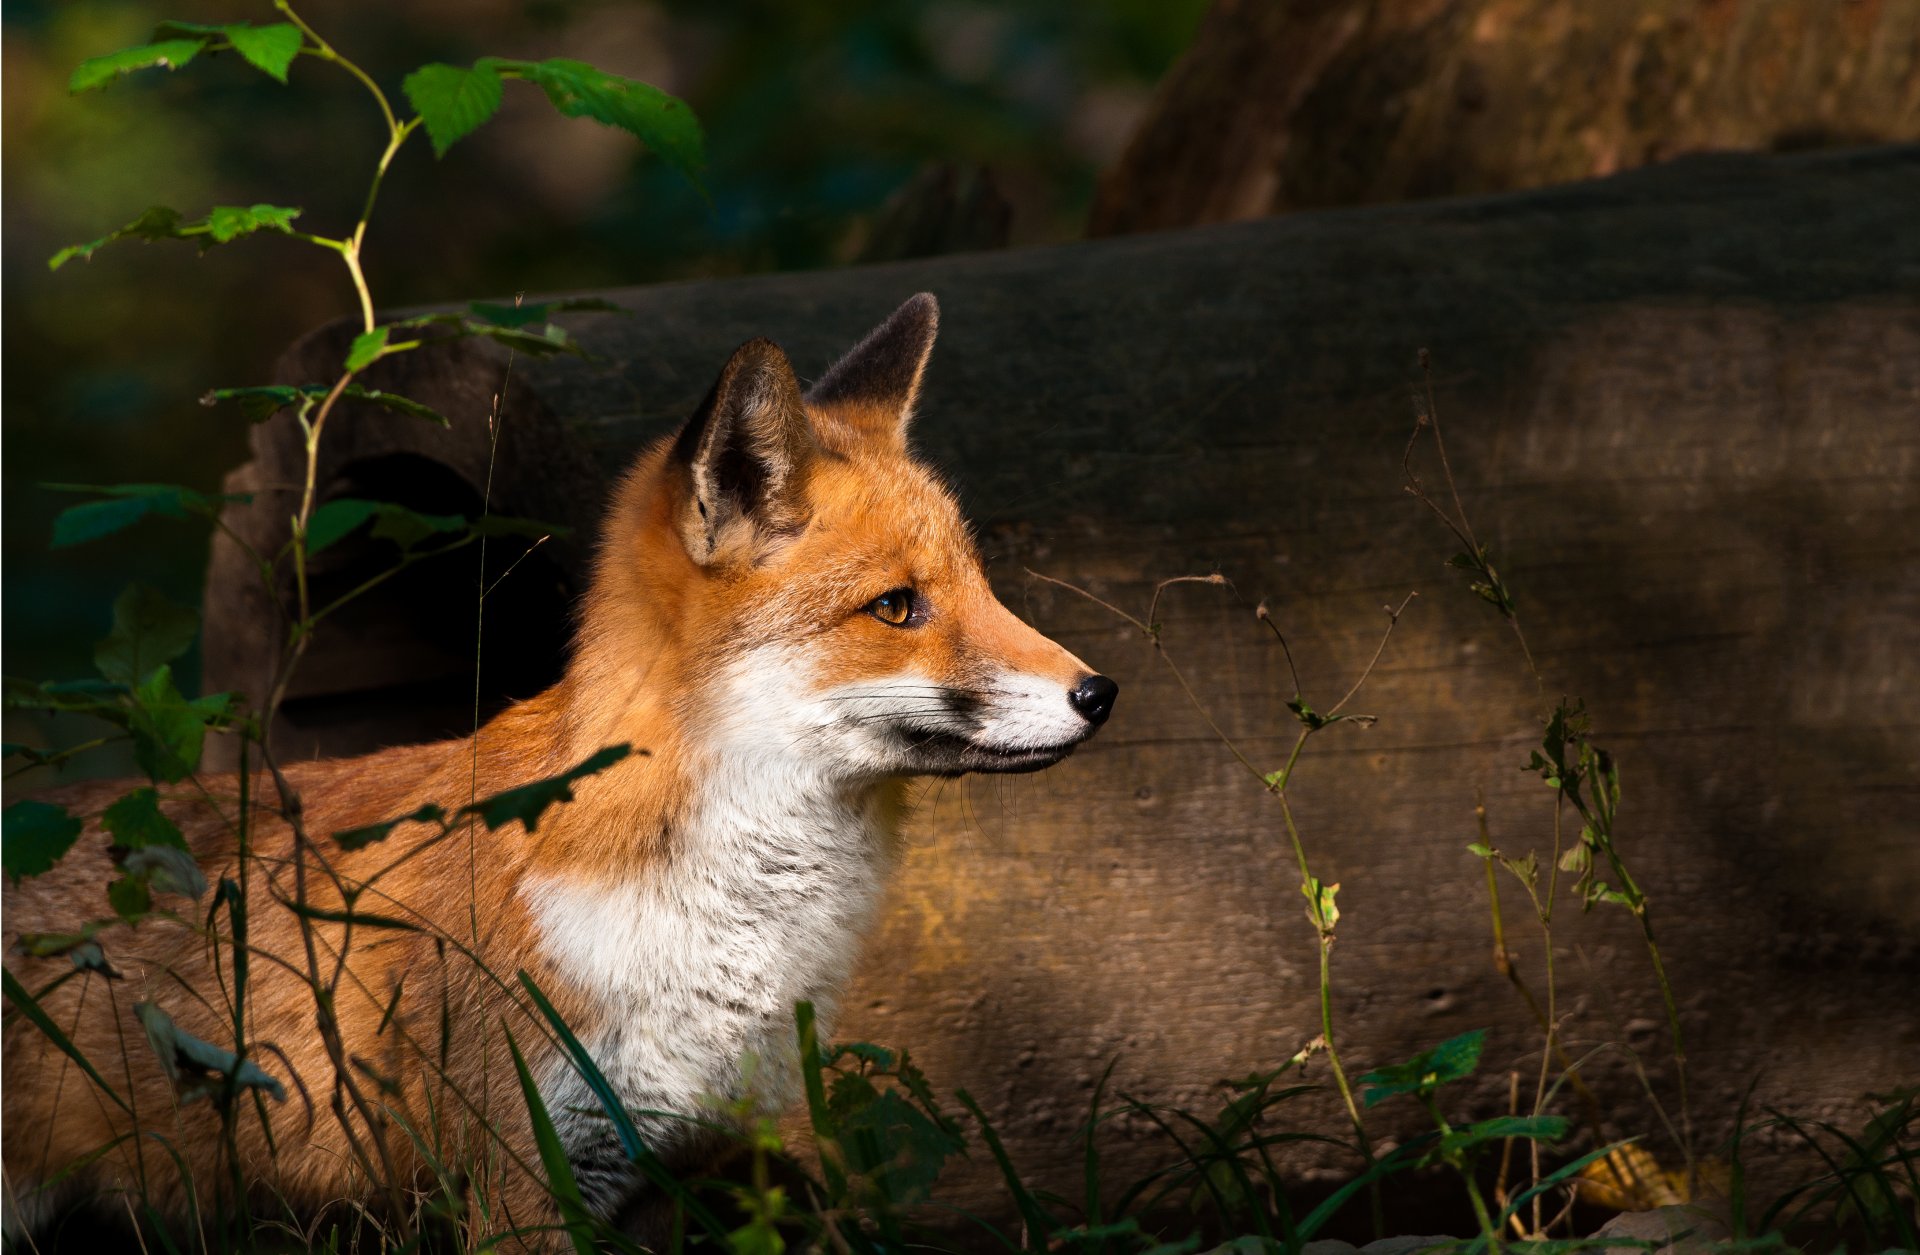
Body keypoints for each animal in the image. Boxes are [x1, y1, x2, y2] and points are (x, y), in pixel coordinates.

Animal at [2, 293, 1117, 1245]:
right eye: (896, 607)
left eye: (978, 583)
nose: (1101, 692)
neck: (723, 924)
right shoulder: (523, 1172)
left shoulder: (691, 1164)